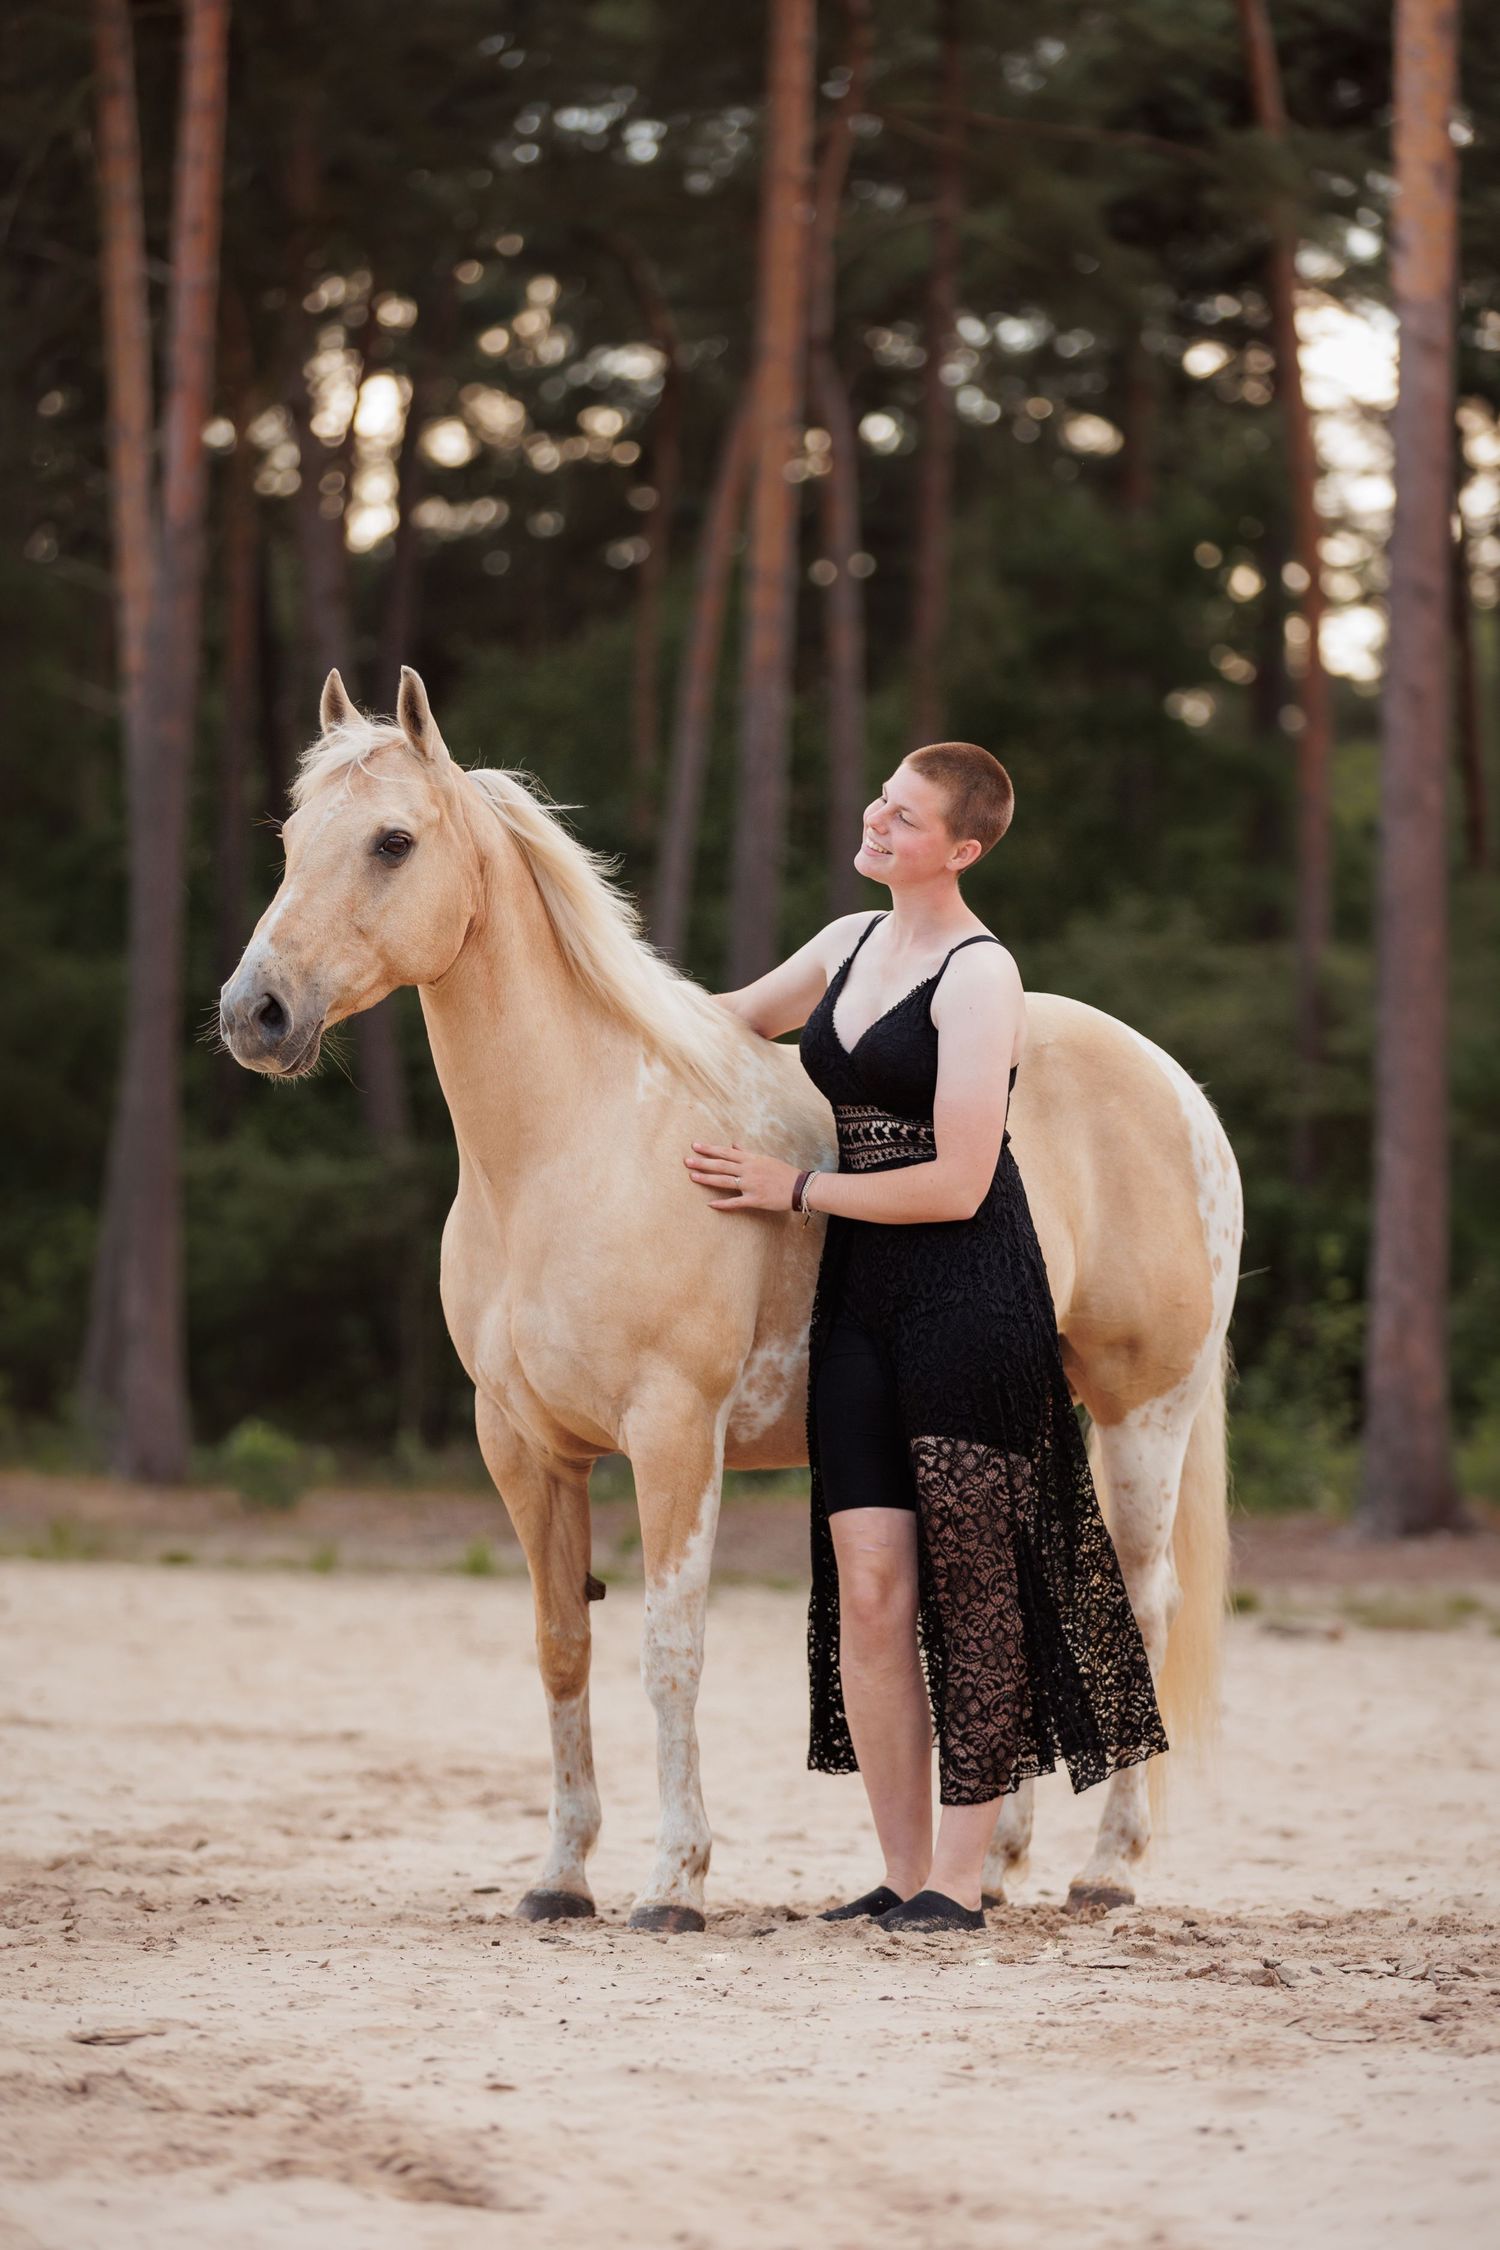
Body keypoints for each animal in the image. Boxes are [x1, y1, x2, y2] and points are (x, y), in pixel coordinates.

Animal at [220, 667, 1242, 1933]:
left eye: (393, 841)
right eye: (290, 837)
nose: (254, 1013)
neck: (571, 1147)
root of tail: (1176, 1089)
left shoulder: (672, 1434)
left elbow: (670, 1652)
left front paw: (674, 1883)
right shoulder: (522, 1446)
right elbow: (563, 1646)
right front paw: (560, 1876)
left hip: (1143, 1418)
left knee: (1141, 1609)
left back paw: (1105, 1870)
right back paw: (997, 1867)